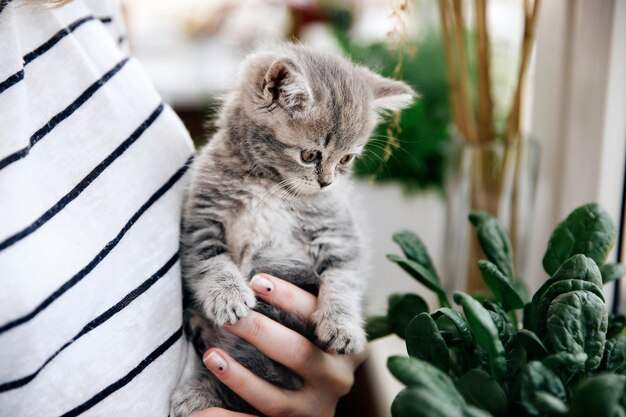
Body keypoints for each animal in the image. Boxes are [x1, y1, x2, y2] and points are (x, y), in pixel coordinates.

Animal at [171, 44, 414, 414]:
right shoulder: (202, 220)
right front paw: (228, 295)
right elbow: (210, 262)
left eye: (345, 160)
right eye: (310, 155)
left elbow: (344, 279)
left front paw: (342, 325)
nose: (327, 183)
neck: (270, 185)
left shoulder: (339, 232)